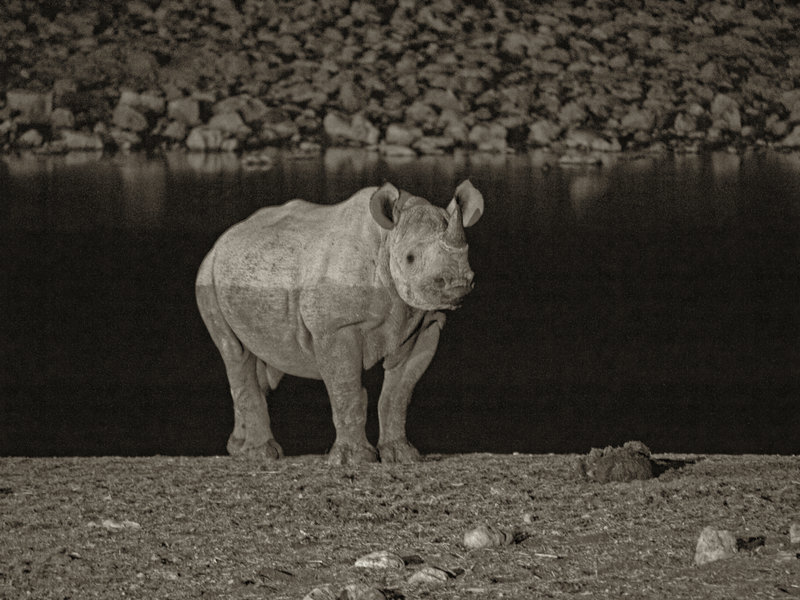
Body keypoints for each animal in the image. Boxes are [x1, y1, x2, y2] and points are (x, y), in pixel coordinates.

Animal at [195, 180, 484, 464]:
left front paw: (402, 455)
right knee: (235, 352)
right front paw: (354, 459)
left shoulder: (426, 323)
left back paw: (240, 449)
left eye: (468, 253)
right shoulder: (335, 327)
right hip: (207, 278)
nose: (458, 283)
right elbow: (346, 388)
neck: (387, 240)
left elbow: (399, 392)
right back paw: (262, 454)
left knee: (267, 361)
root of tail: (222, 240)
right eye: (410, 258)